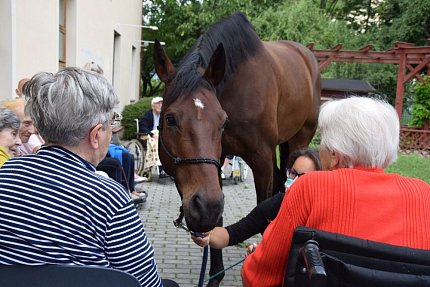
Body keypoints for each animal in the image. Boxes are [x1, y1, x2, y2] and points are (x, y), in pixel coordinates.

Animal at [154, 11, 320, 287]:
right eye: (170, 119)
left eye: (223, 120)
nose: (204, 209)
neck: (234, 89)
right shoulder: (217, 163)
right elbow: (219, 219)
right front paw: (215, 275)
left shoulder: (260, 158)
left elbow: (263, 205)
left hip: (300, 138)